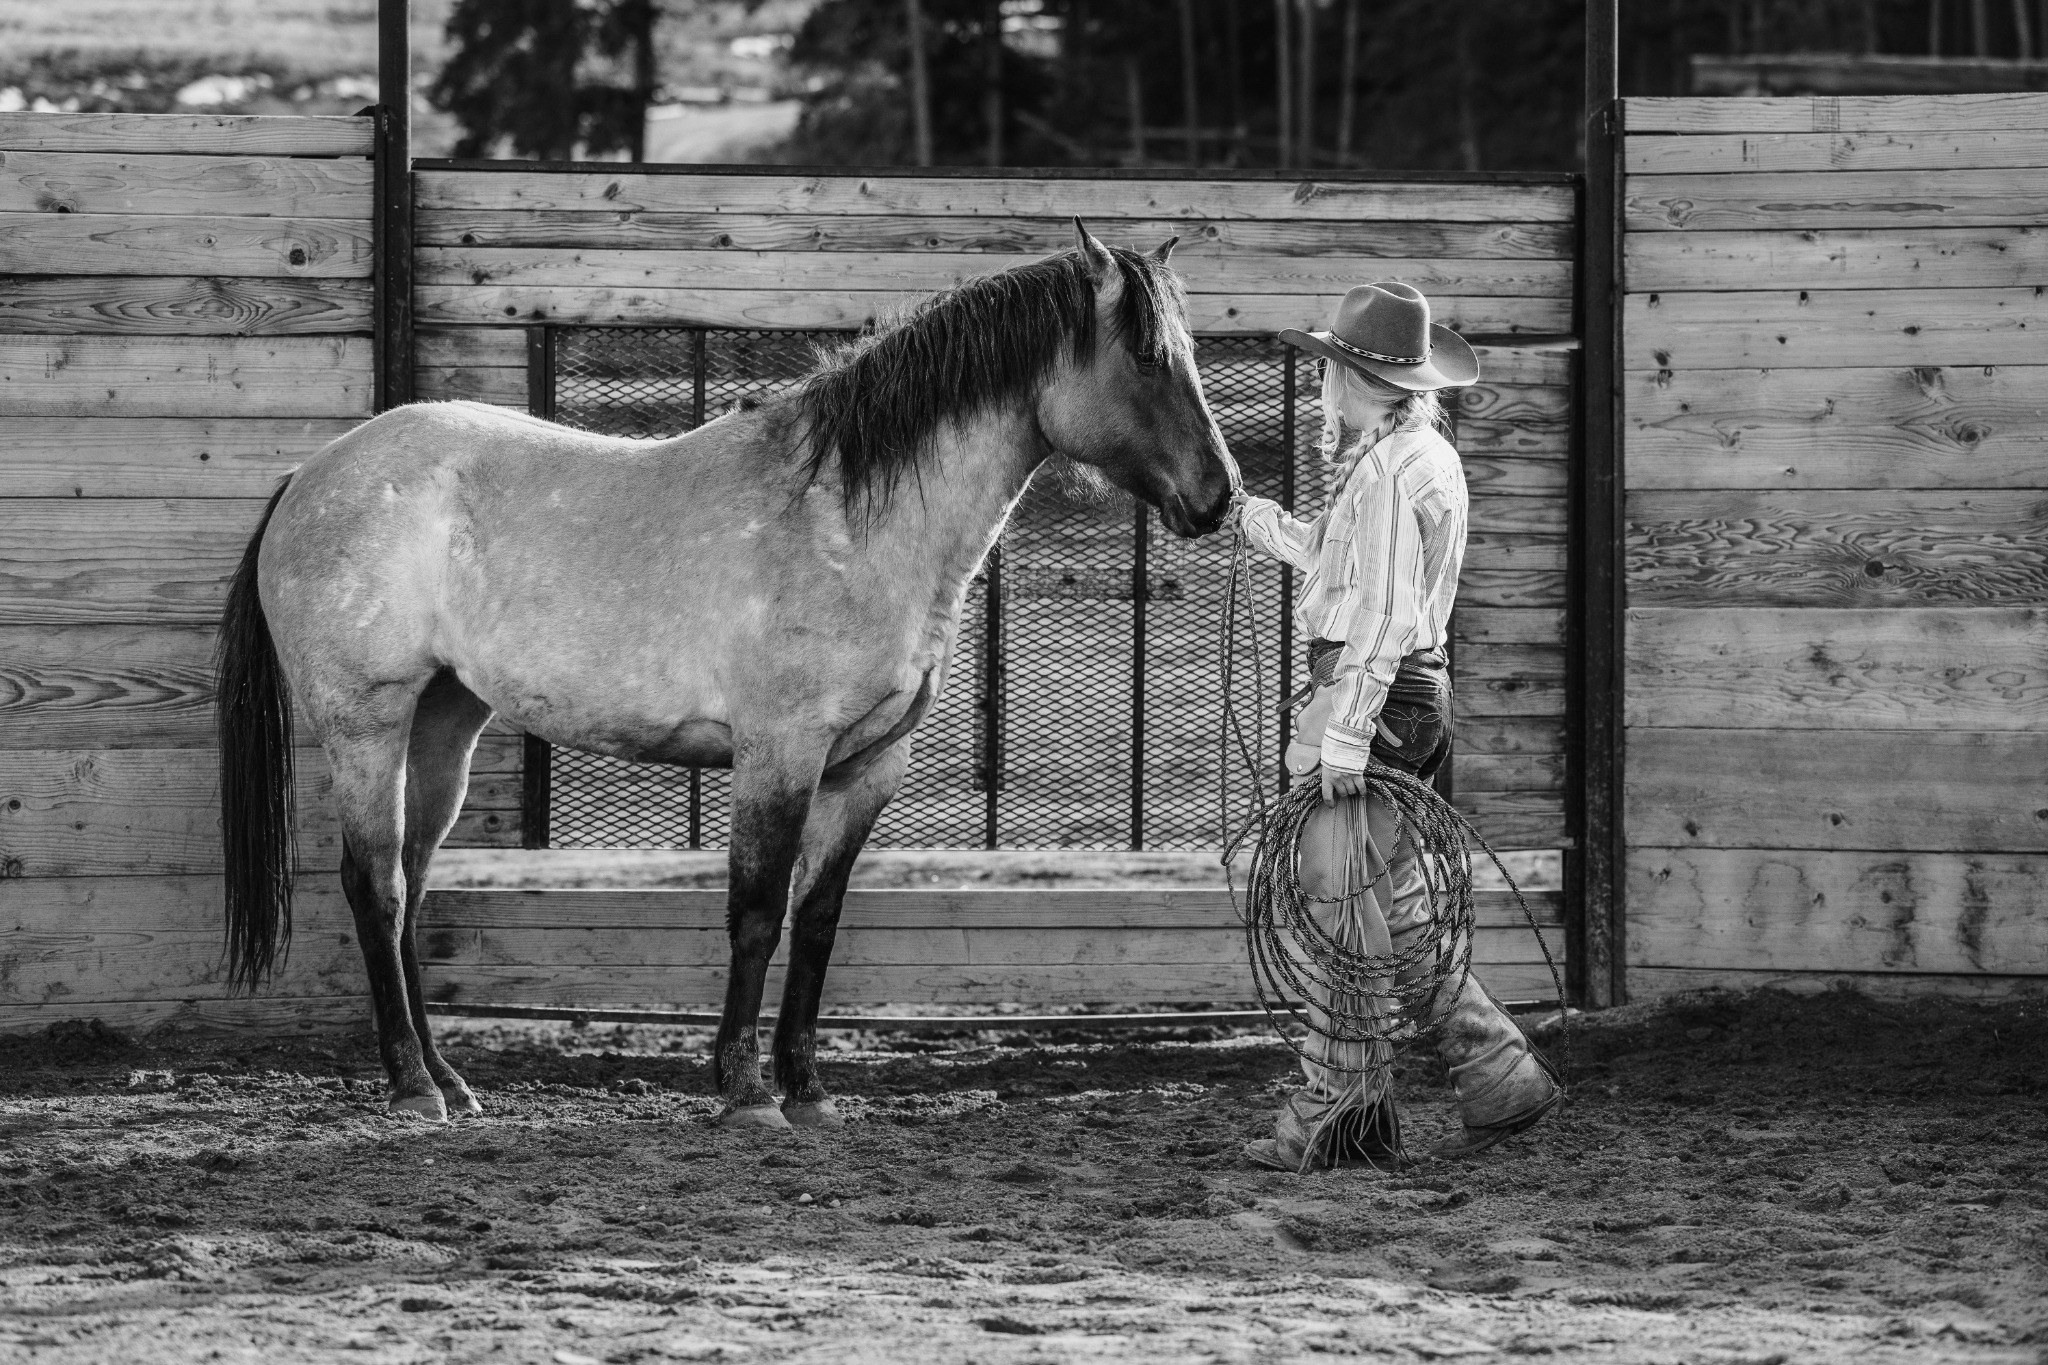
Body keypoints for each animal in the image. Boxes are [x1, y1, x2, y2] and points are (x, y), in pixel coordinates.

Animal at [214, 221, 1238, 1129]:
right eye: (1146, 357)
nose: (1218, 496)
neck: (847, 517)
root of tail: (312, 473)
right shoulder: (778, 751)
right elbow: (755, 910)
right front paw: (746, 1092)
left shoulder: (868, 768)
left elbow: (816, 919)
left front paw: (808, 1089)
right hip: (367, 725)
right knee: (376, 887)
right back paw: (410, 1087)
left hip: (443, 724)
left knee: (412, 889)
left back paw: (449, 1080)